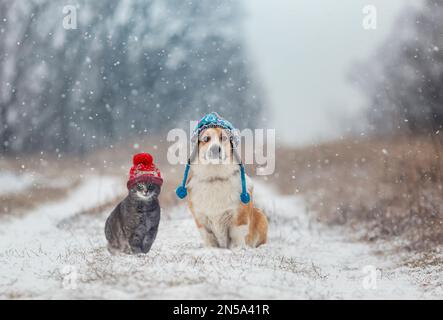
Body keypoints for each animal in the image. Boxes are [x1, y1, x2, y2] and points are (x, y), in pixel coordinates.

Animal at [176, 113, 268, 250]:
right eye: (206, 138)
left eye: (223, 138)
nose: (215, 149)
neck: (215, 177)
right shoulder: (201, 220)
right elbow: (209, 237)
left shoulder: (238, 217)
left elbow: (237, 236)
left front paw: (237, 249)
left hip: (261, 217)